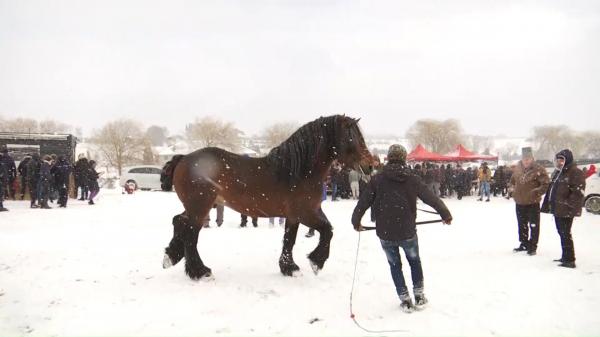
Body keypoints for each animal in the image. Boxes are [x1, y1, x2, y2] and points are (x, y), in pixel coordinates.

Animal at [162, 114, 372, 280]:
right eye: (352, 137)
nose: (370, 165)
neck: (298, 171)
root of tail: (184, 158)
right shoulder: (305, 213)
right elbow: (327, 230)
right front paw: (315, 262)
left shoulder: (297, 215)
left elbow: (290, 239)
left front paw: (289, 268)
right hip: (200, 207)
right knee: (190, 233)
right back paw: (200, 271)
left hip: (197, 207)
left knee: (178, 221)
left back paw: (171, 257)